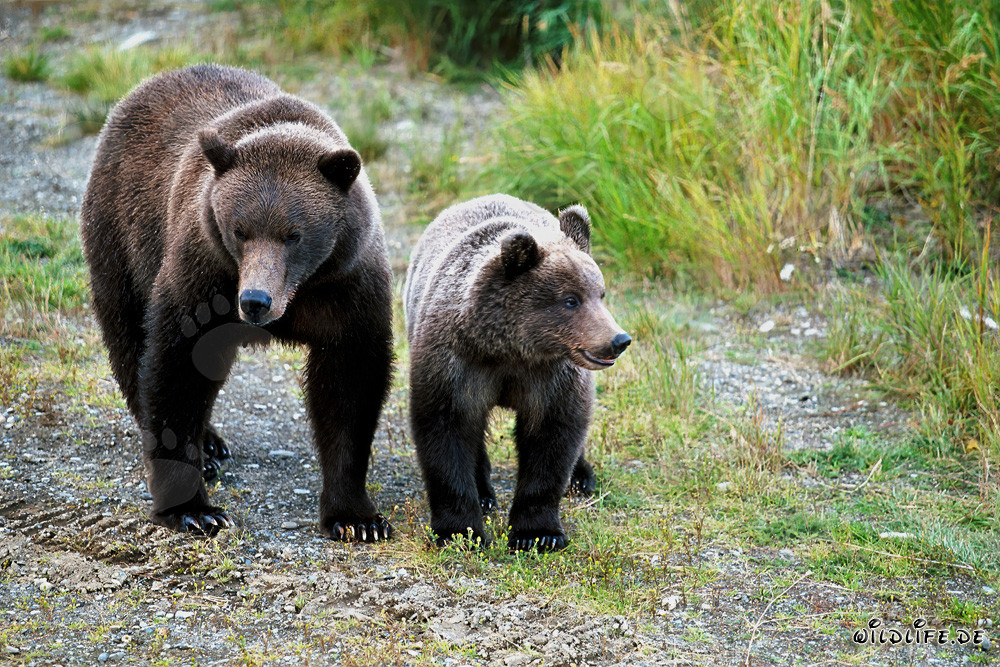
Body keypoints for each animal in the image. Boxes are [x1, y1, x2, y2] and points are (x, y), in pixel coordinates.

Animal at [80, 64, 394, 541]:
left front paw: (357, 518)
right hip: (122, 234)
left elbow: (350, 387)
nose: (255, 301)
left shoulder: (349, 286)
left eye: (294, 234)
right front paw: (195, 508)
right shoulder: (204, 273)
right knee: (130, 337)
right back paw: (207, 447)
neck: (300, 292)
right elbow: (177, 366)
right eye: (239, 230)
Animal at [403, 194, 631, 551]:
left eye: (601, 294)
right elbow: (445, 431)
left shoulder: (552, 377)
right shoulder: (456, 365)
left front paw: (538, 533)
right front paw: (459, 530)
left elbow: (552, 437)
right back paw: (484, 494)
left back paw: (581, 478)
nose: (618, 340)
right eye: (571, 300)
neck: (511, 350)